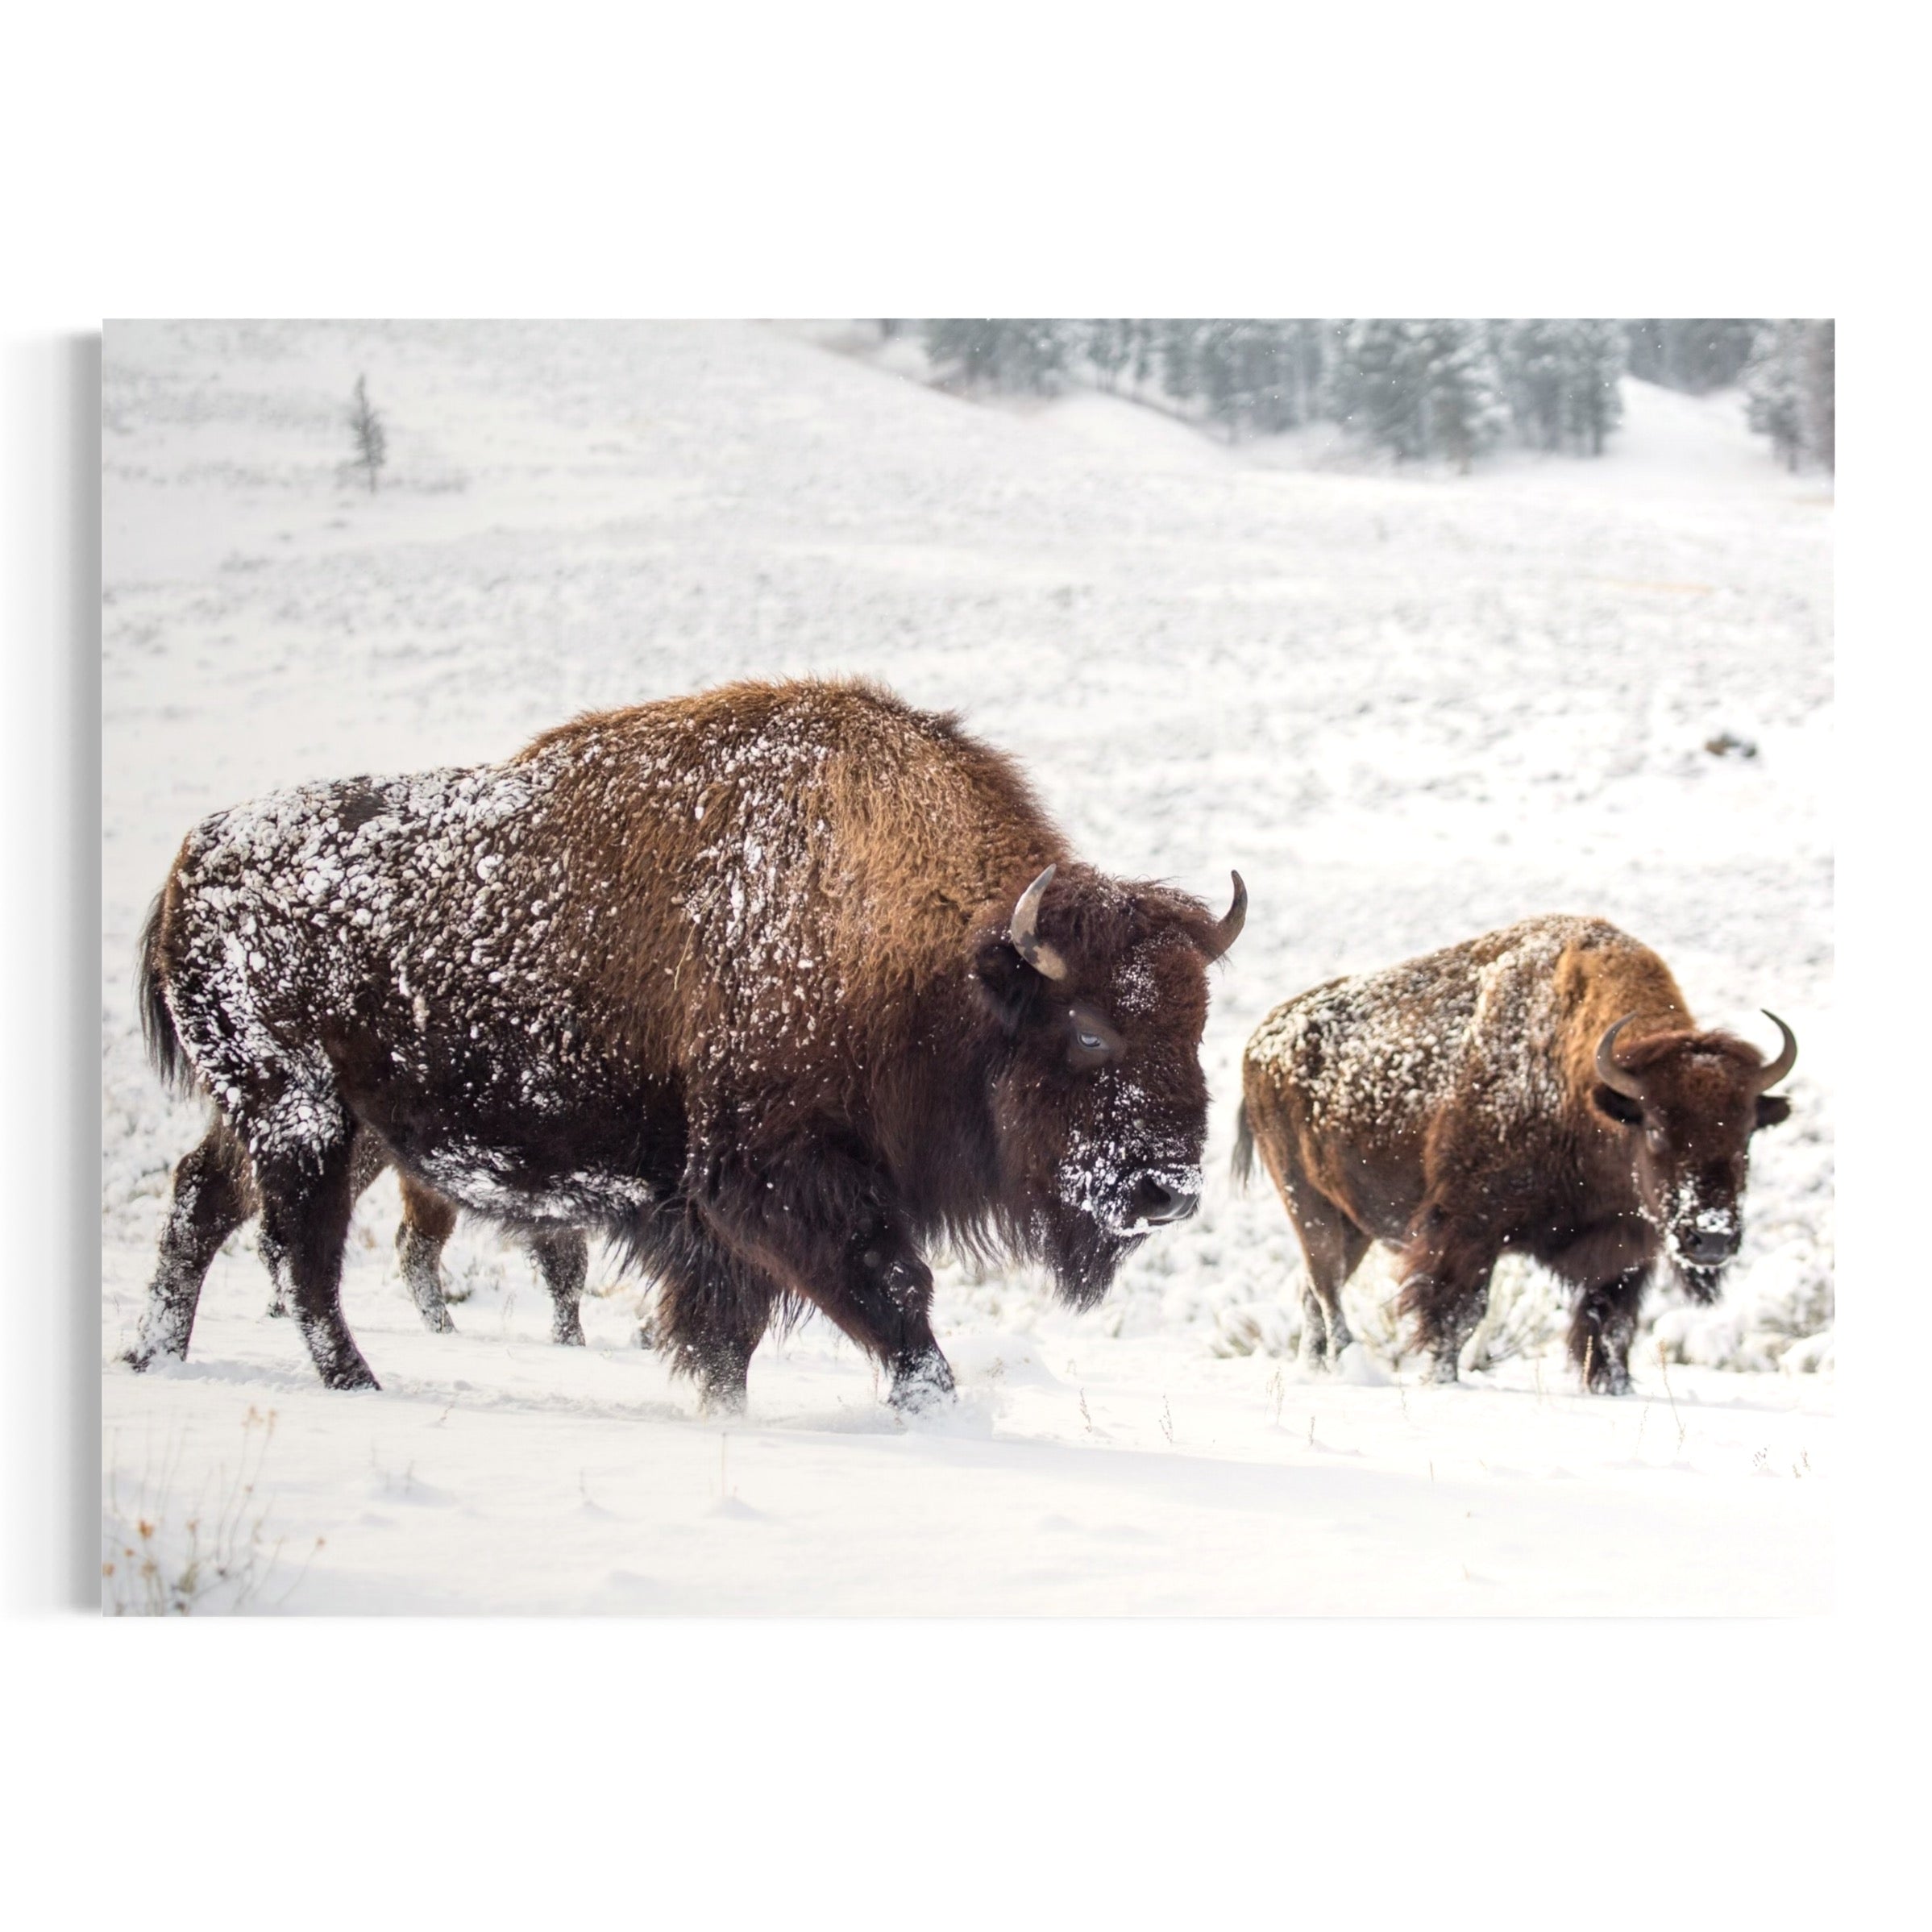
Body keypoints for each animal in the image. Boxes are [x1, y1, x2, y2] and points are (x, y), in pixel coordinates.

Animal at [131, 677, 1244, 1407]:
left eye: (1197, 1026)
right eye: (1090, 1031)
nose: (1166, 1192)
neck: (924, 950)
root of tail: (195, 853)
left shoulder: (725, 1222)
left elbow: (728, 1338)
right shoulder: (778, 1182)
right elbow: (892, 1294)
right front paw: (928, 1407)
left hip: (327, 1124)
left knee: (202, 1204)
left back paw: (156, 1359)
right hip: (300, 1116)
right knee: (298, 1252)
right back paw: (354, 1384)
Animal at [1233, 915, 1795, 1392]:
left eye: (1747, 1132)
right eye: (1656, 1128)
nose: (1712, 1239)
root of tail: (1261, 1040)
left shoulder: (1625, 1252)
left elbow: (1610, 1329)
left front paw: (1613, 1388)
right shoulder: (1466, 1229)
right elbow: (1458, 1315)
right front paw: (1442, 1381)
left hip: (1354, 1225)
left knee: (1312, 1295)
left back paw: (1318, 1370)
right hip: (1308, 1204)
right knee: (1326, 1289)